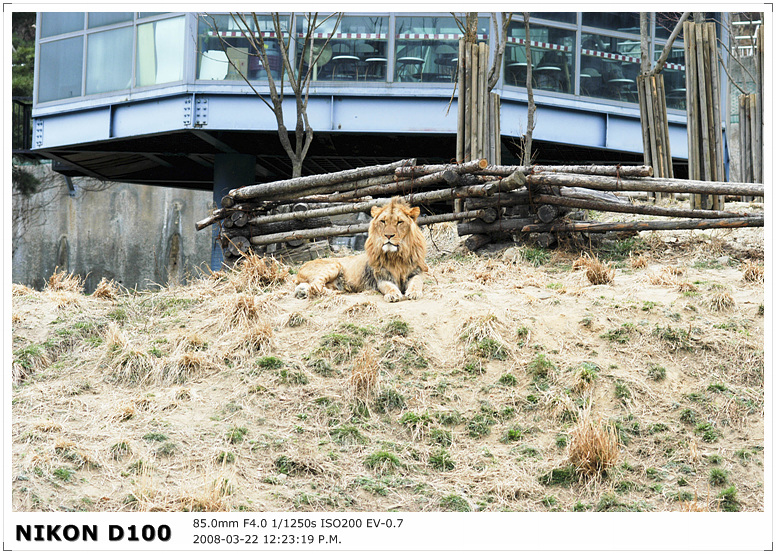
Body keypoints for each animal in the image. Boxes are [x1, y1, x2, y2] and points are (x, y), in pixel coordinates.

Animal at [296, 197, 428, 302]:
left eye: (400, 222)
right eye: (383, 221)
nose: (388, 235)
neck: (396, 255)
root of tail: (300, 269)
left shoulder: (416, 273)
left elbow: (417, 282)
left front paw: (414, 293)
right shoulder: (382, 278)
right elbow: (389, 287)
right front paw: (393, 295)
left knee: (309, 287)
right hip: (333, 265)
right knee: (315, 286)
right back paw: (340, 292)